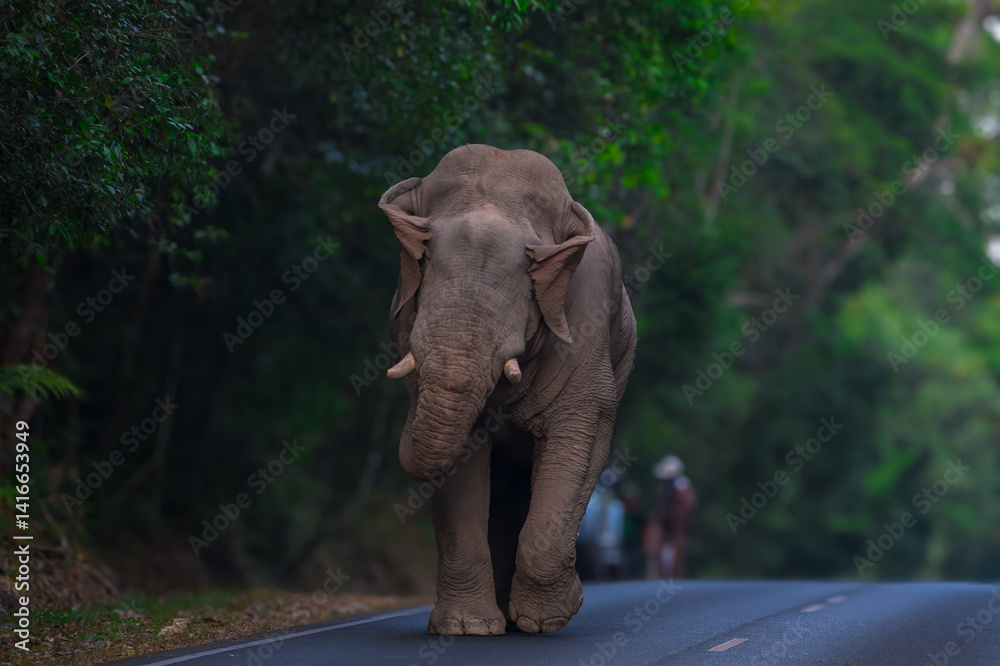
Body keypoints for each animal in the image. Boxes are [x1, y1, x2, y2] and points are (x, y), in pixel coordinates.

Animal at [379, 144, 637, 636]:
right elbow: (462, 467)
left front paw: (549, 619)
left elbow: (577, 437)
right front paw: (467, 629)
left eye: (528, 272)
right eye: (426, 261)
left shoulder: (585, 324)